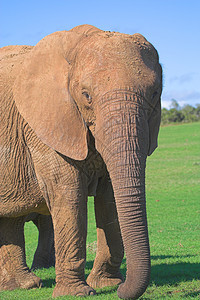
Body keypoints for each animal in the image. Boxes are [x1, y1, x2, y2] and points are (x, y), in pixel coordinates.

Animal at [0, 24, 162, 298]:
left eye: (154, 93)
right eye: (86, 95)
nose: (122, 291)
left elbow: (110, 196)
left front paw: (108, 284)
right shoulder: (44, 124)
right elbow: (68, 192)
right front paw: (77, 293)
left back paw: (22, 286)